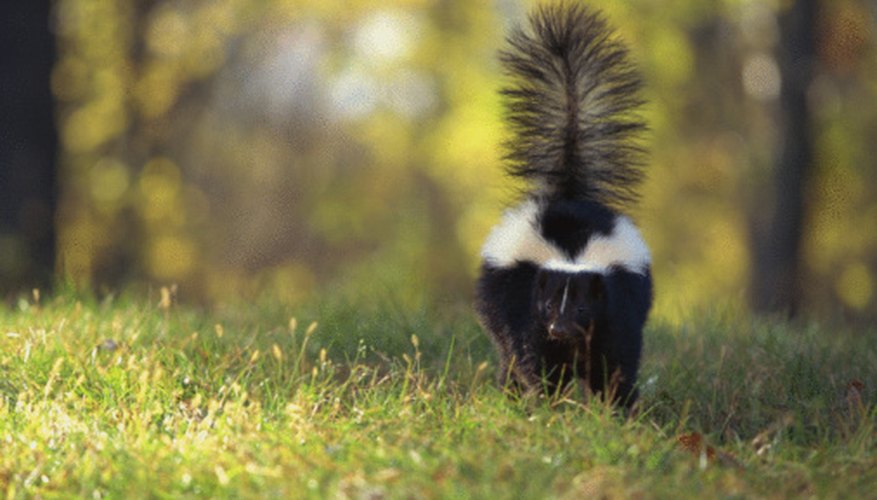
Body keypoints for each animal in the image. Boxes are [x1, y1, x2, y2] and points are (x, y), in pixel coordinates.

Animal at [472, 1, 652, 406]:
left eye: (583, 307)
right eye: (551, 305)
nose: (560, 327)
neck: (571, 252)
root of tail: (567, 195)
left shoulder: (619, 304)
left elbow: (614, 360)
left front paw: (616, 406)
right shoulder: (523, 301)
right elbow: (531, 354)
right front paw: (549, 400)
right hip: (496, 296)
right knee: (506, 353)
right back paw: (510, 393)